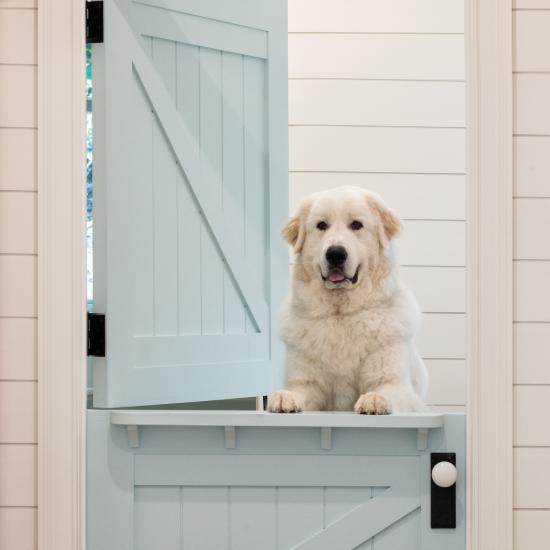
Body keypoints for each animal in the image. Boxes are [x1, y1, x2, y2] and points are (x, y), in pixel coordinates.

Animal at [270, 188, 430, 416]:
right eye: (322, 225)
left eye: (356, 225)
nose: (335, 254)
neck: (341, 315)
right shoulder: (308, 383)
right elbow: (299, 390)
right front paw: (285, 397)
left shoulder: (394, 383)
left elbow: (385, 391)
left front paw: (374, 399)